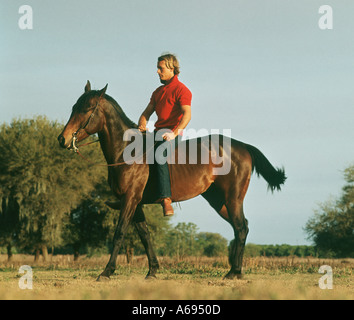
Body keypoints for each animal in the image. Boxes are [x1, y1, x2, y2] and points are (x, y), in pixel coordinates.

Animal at [57, 81, 284, 282]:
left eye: (87, 109)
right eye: (73, 107)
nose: (62, 139)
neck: (127, 150)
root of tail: (243, 146)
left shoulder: (130, 199)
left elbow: (119, 232)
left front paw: (106, 272)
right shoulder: (135, 203)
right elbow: (145, 235)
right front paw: (152, 271)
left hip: (233, 199)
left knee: (241, 228)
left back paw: (234, 272)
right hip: (218, 201)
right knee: (240, 228)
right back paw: (234, 271)